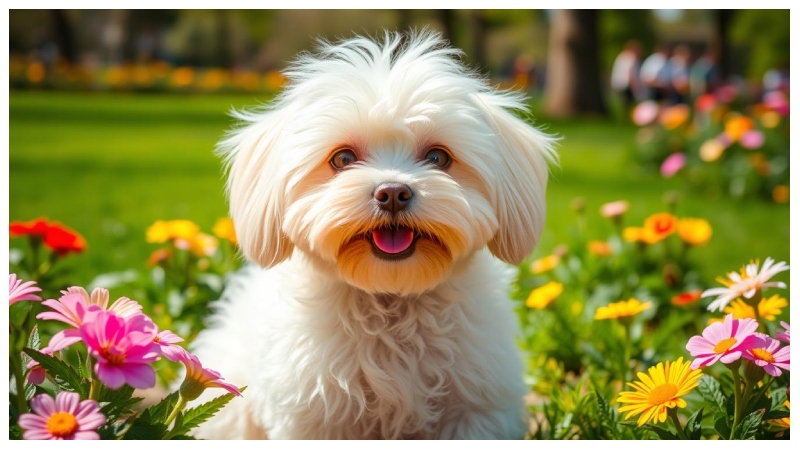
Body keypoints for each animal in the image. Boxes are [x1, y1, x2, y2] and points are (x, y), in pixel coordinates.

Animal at [190, 31, 556, 440]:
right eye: (343, 159)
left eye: (438, 158)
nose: (393, 192)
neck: (390, 299)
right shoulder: (316, 415)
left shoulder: (476, 408)